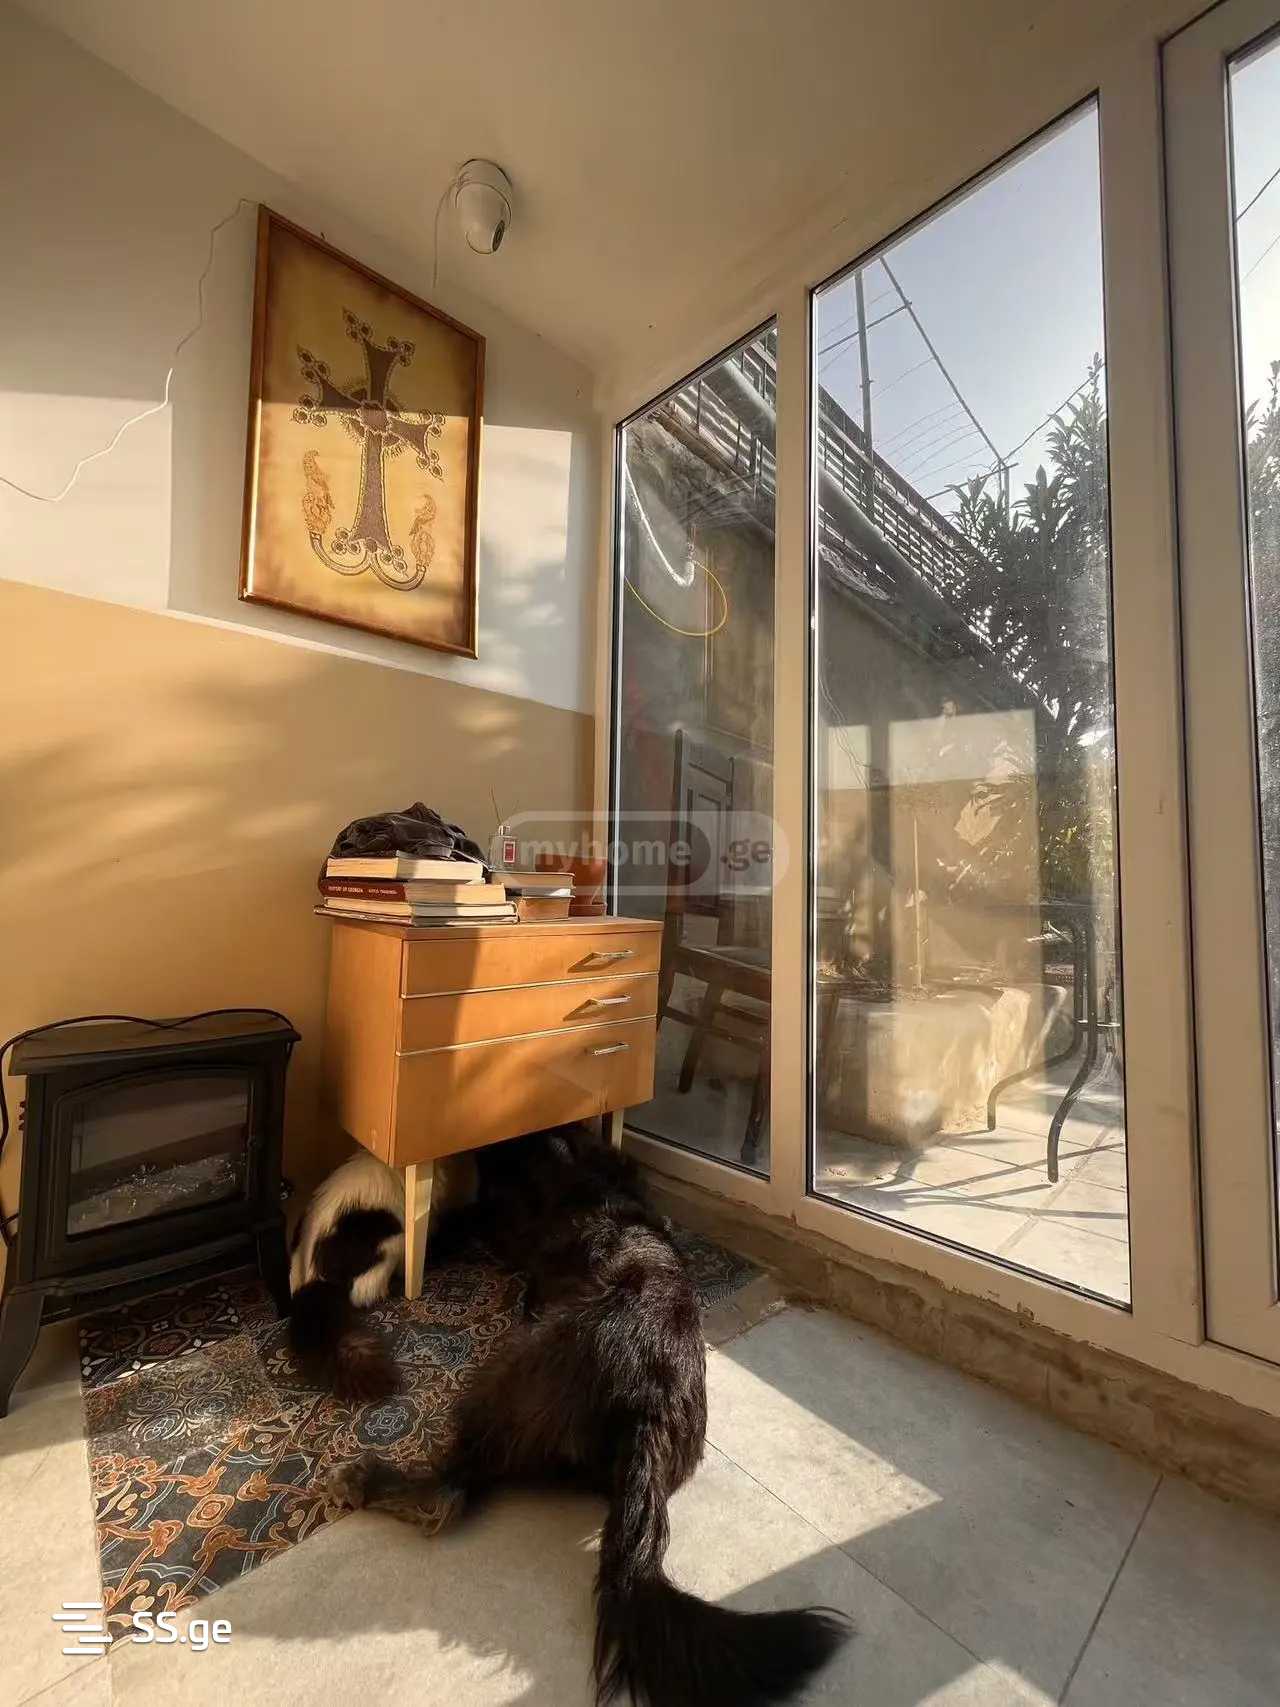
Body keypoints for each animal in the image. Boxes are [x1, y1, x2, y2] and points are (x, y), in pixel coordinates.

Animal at [325, 1128, 850, 1707]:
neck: (587, 1175)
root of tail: (651, 1403)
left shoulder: (506, 1225)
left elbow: (469, 1222)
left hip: (510, 1374)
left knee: (449, 1492)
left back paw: (365, 1478)